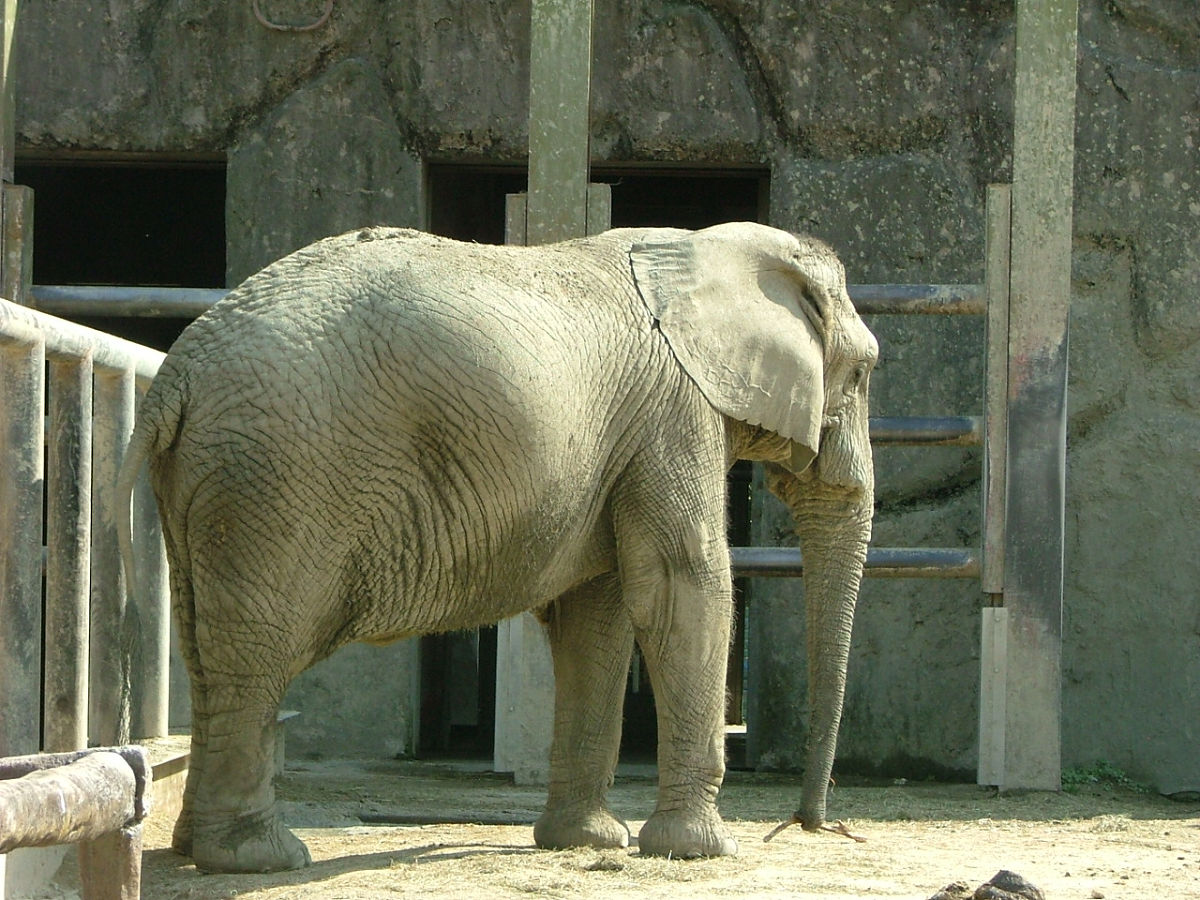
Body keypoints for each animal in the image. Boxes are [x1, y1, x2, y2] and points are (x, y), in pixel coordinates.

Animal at [116, 221, 878, 873]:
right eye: (864, 373)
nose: (811, 825)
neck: (705, 247)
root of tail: (179, 370)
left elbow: (594, 617)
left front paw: (587, 842)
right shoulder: (674, 415)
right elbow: (681, 587)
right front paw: (699, 852)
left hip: (212, 482)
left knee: (207, 654)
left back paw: (193, 847)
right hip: (276, 481)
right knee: (256, 661)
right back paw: (260, 859)